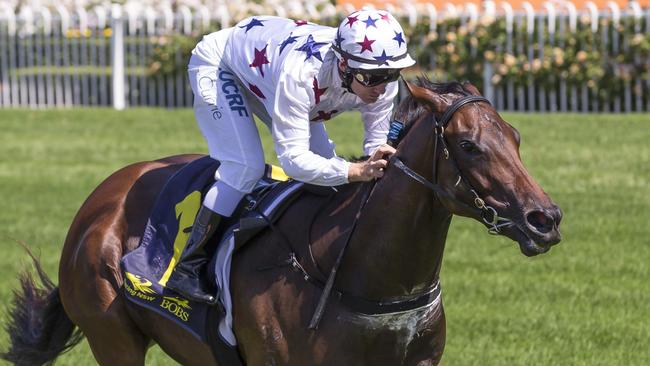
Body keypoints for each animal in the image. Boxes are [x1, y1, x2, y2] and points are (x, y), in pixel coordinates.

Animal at [0, 81, 560, 366]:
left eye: (515, 137)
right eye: (469, 145)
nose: (545, 219)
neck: (353, 270)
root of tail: (99, 201)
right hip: (111, 335)